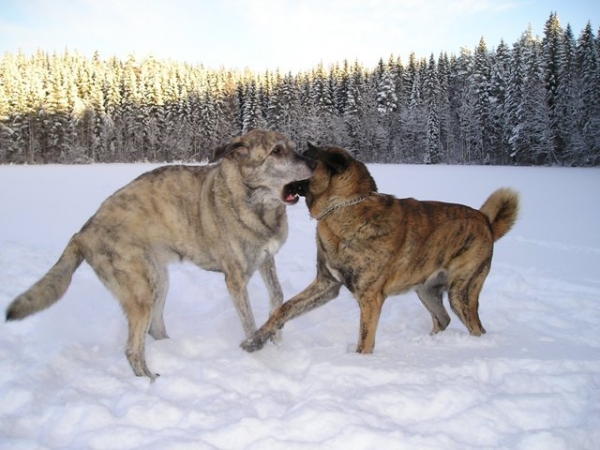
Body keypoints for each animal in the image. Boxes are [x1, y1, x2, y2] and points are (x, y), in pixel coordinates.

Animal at [241, 144, 516, 356]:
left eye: (307, 159)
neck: (344, 206)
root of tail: (486, 221)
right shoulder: (326, 284)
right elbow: (285, 309)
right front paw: (255, 339)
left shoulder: (370, 298)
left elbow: (364, 342)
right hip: (427, 289)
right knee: (443, 319)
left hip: (462, 291)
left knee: (476, 327)